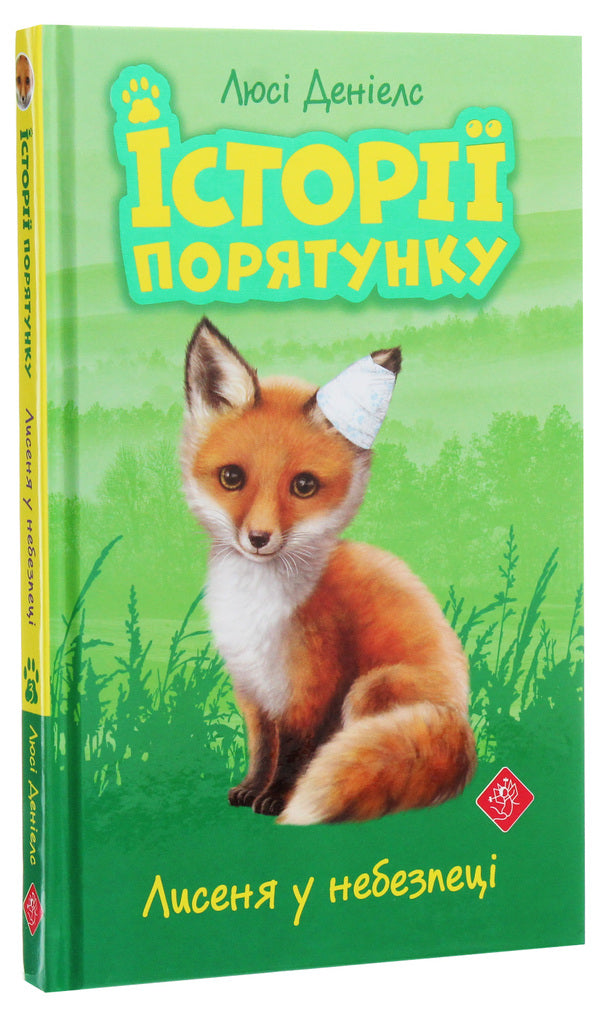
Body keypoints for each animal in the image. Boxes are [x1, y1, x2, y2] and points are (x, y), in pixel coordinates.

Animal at [181, 318, 477, 824]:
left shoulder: (312, 689)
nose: (258, 538)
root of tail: (462, 725)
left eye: (303, 486)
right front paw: (251, 788)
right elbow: (262, 748)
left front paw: (278, 799)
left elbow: (295, 753)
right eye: (232, 478)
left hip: (370, 689)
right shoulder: (253, 689)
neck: (256, 610)